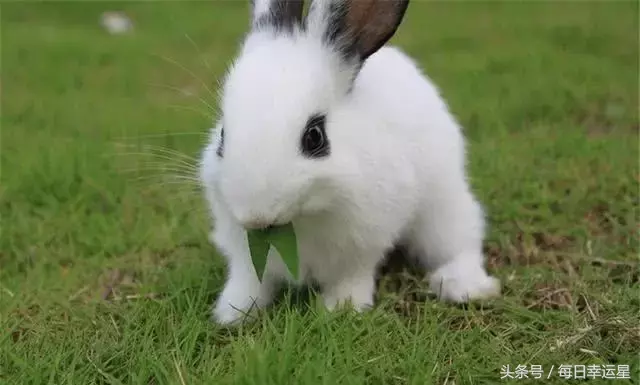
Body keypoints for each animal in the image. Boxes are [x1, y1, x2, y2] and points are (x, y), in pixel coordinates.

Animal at [200, 0, 500, 324]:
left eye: (315, 137)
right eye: (222, 135)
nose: (255, 218)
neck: (304, 219)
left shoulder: (363, 243)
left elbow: (352, 275)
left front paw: (341, 308)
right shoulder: (245, 254)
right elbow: (250, 280)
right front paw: (232, 312)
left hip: (443, 211)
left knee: (461, 243)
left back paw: (463, 286)